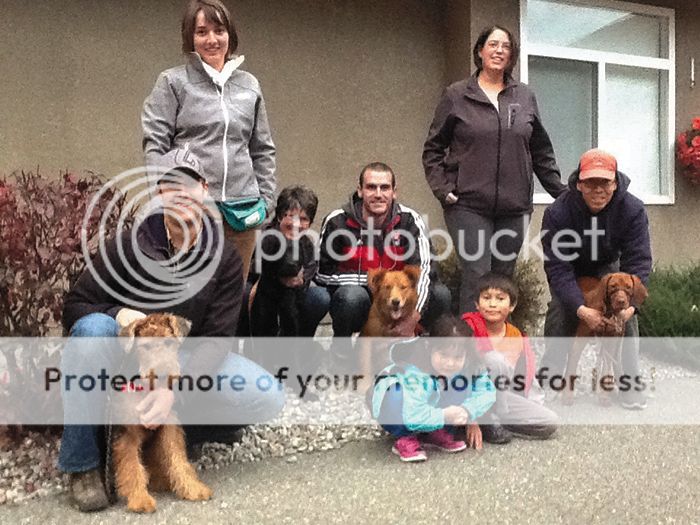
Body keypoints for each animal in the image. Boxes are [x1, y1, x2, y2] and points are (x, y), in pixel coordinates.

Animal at [564, 272, 644, 404]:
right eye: (612, 286)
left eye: (628, 287)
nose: (621, 301)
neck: (609, 313)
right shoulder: (580, 338)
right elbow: (572, 364)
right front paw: (567, 395)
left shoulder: (612, 340)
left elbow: (607, 367)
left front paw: (604, 396)